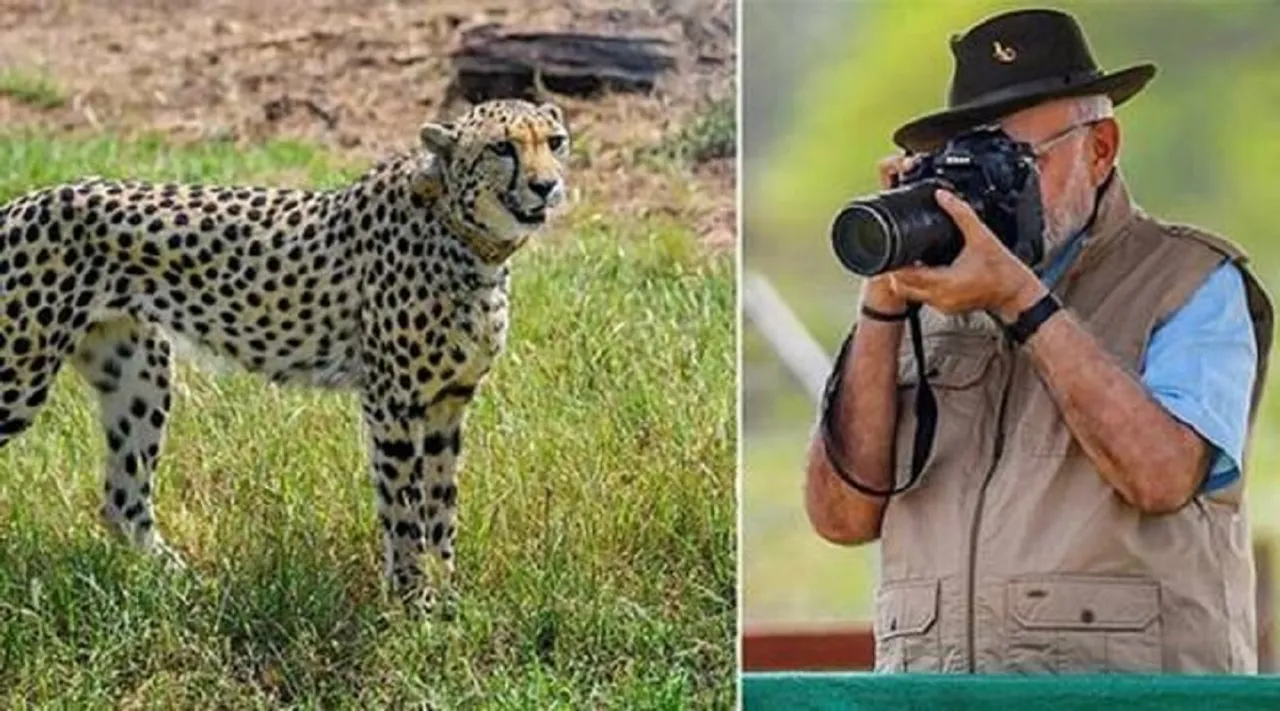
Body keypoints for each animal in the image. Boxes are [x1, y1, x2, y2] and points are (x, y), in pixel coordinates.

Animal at [0, 98, 571, 607]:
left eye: (555, 142)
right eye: (502, 147)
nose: (546, 186)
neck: (466, 236)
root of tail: (25, 200)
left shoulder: (448, 403)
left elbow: (442, 508)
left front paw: (448, 600)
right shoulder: (393, 403)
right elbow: (405, 511)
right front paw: (416, 607)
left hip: (140, 373)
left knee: (123, 501)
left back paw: (182, 584)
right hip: (19, 375)